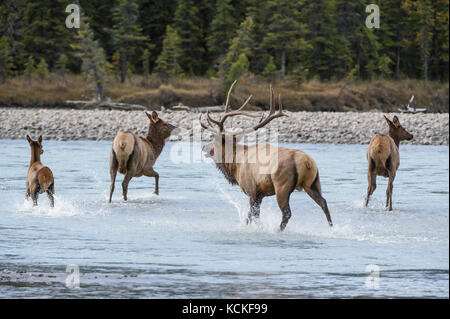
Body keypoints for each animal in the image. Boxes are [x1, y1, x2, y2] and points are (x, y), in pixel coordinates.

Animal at [200, 81, 330, 231]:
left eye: (214, 140)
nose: (203, 147)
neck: (236, 164)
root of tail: (307, 162)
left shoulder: (252, 190)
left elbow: (251, 216)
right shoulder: (260, 194)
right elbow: (254, 216)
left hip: (282, 186)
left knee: (287, 213)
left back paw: (278, 231)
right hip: (313, 182)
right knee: (324, 203)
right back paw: (332, 228)